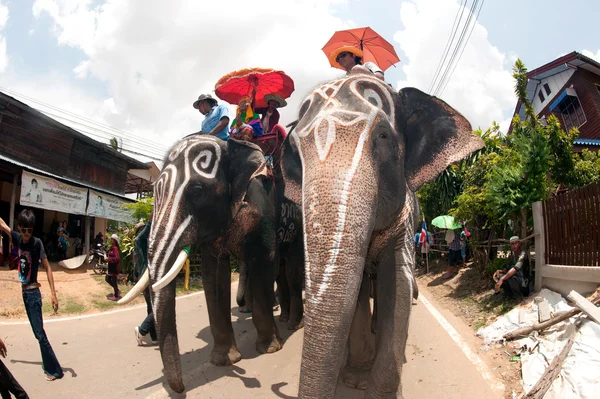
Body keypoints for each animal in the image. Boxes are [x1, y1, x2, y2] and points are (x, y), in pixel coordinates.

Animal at [119, 135, 290, 394]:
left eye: (198, 190)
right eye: (154, 190)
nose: (180, 389)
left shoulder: (262, 209)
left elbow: (265, 260)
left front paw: (270, 349)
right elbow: (213, 274)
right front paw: (223, 361)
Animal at [280, 66, 482, 399]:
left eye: (383, 136)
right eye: (297, 151)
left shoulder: (405, 222)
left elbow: (397, 283)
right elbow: (359, 289)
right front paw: (356, 379)